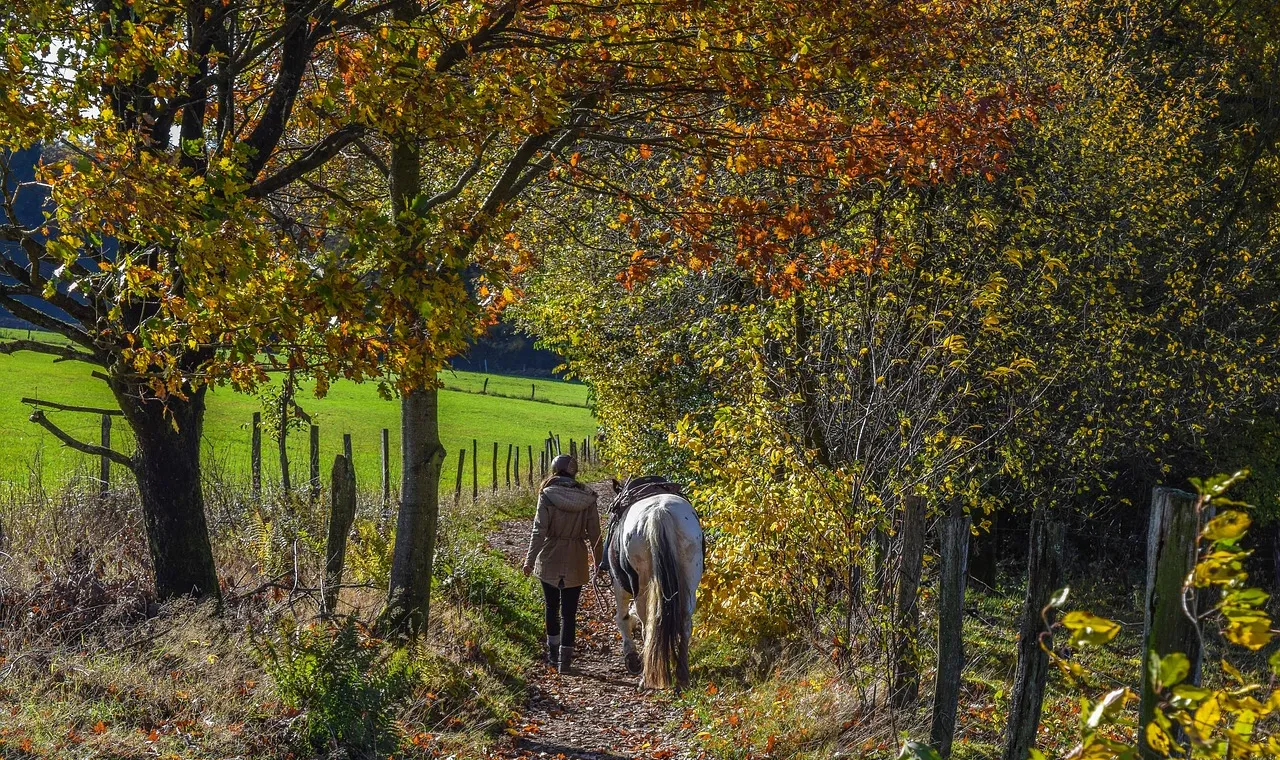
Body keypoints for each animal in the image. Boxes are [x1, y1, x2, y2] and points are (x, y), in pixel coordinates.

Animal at [603, 478, 704, 691]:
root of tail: (660, 513)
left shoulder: (619, 584)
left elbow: (622, 618)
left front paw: (632, 659)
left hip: (640, 586)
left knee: (647, 624)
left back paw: (645, 678)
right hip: (689, 580)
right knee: (685, 621)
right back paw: (682, 675)